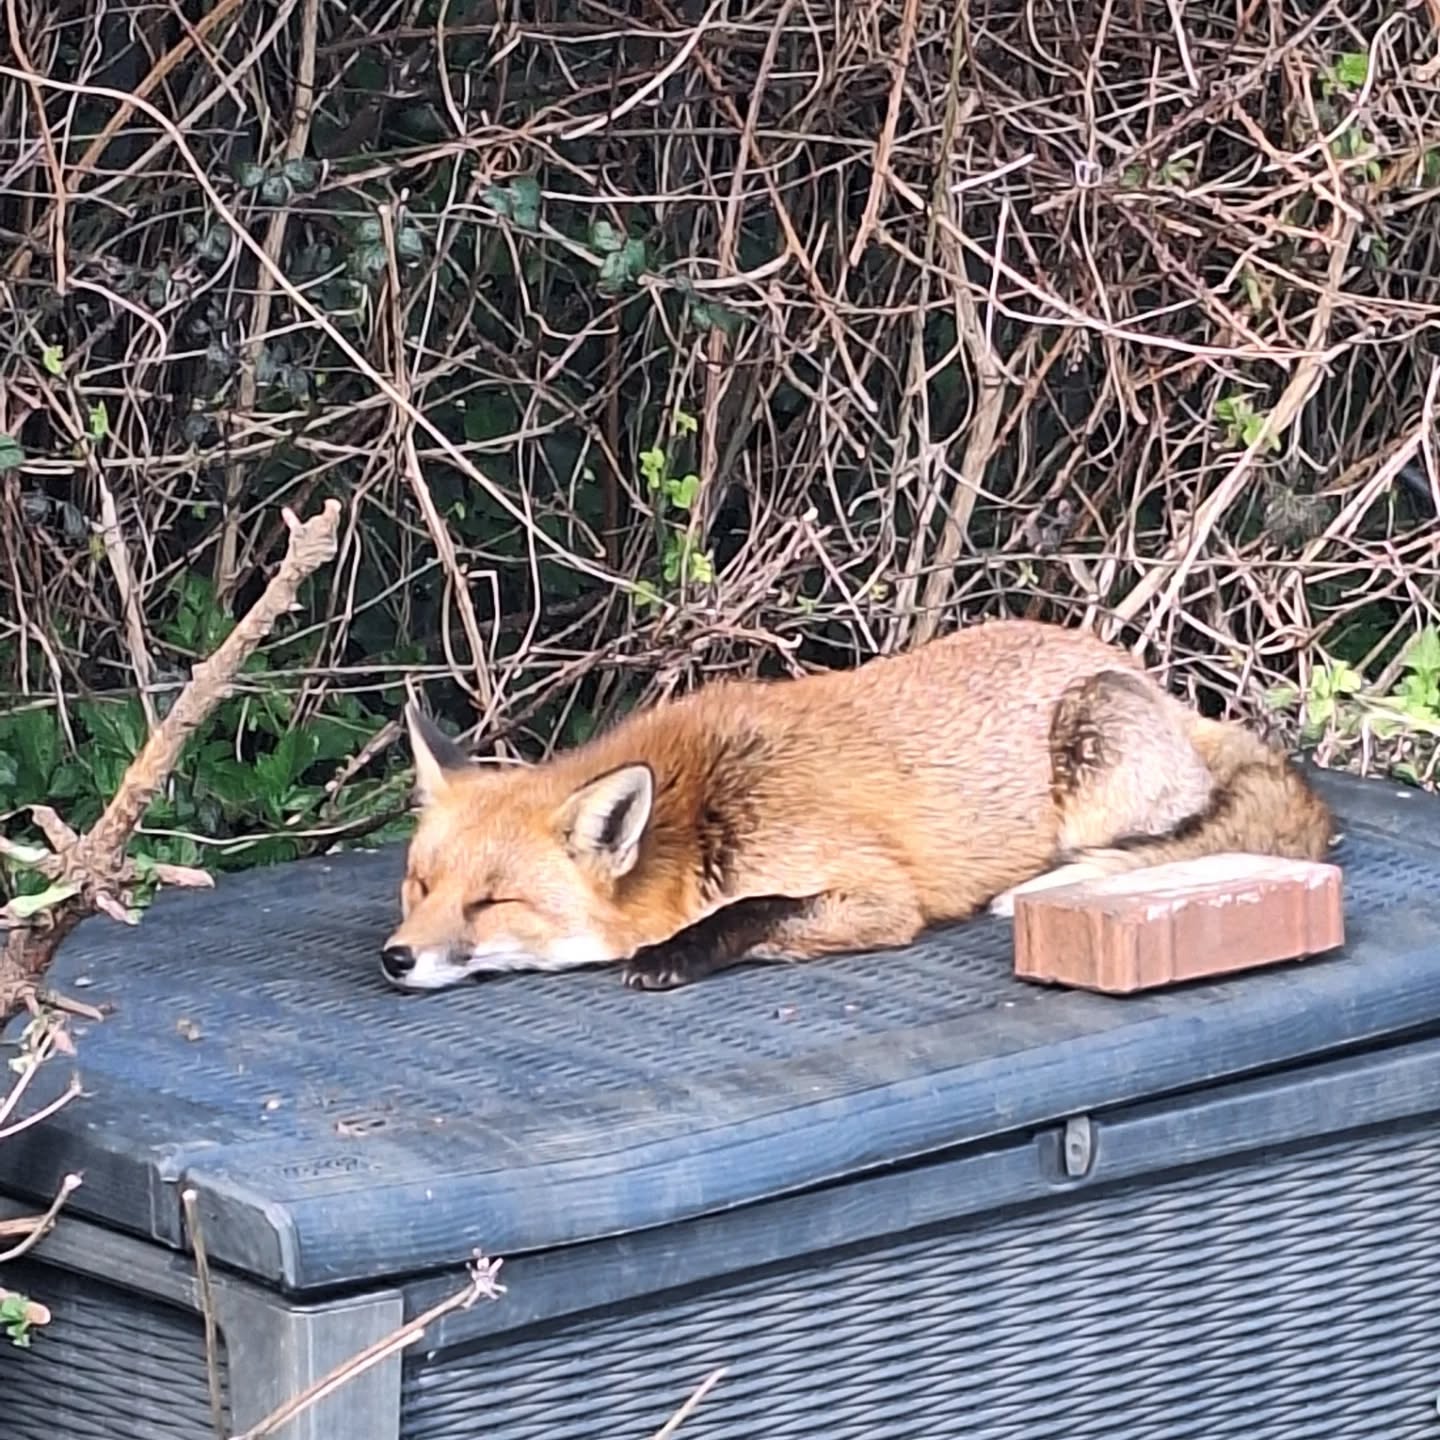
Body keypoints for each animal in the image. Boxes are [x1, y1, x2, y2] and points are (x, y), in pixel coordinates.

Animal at [379, 618, 1334, 993]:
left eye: (492, 902)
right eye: (419, 887)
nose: (396, 959)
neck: (699, 812)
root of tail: (1141, 670)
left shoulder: (879, 897)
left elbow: (755, 913)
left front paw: (674, 954)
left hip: (1097, 755)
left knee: (1186, 831)